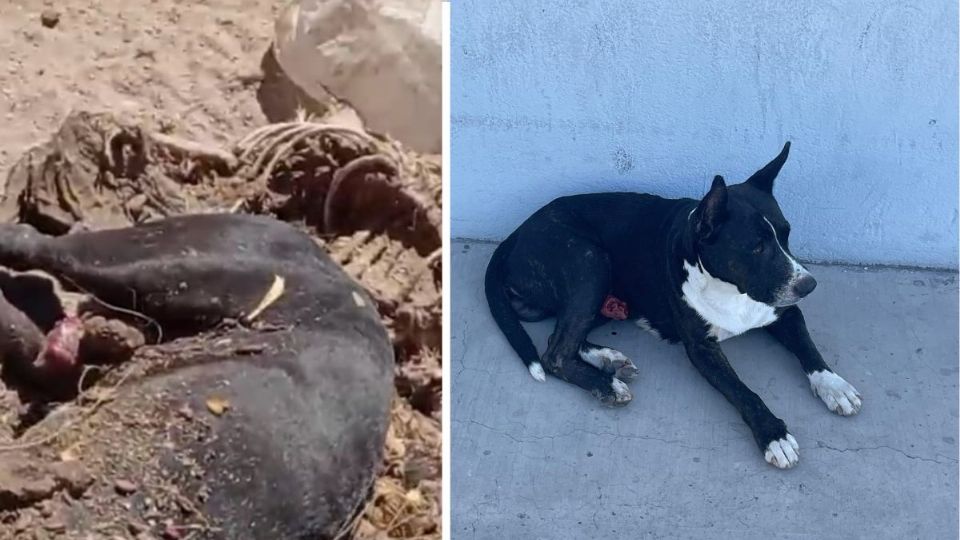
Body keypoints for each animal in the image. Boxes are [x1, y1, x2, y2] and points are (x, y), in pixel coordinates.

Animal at [488, 143, 864, 468]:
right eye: (756, 247)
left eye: (786, 234)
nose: (809, 286)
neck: (729, 287)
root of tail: (515, 234)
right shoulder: (702, 349)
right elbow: (743, 391)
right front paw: (773, 433)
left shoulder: (785, 312)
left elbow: (808, 348)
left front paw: (834, 386)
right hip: (589, 261)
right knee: (555, 352)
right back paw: (606, 383)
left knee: (562, 336)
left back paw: (609, 359)